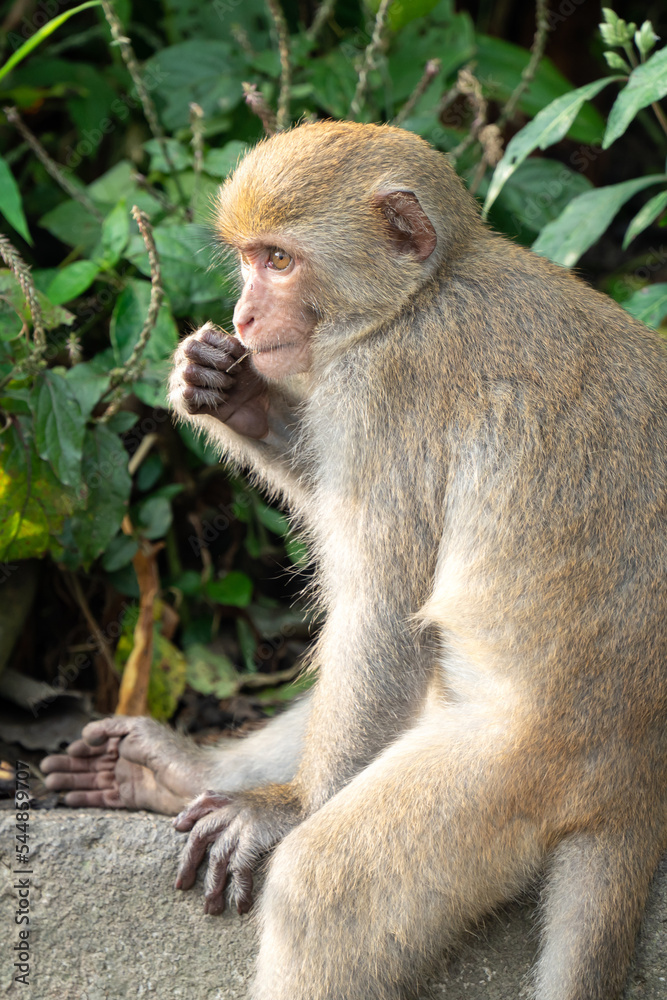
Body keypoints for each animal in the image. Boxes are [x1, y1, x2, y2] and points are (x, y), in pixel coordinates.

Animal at [41, 123, 667, 1000]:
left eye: (278, 261)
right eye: (247, 259)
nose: (243, 313)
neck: (417, 296)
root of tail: (639, 790)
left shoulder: (386, 391)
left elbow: (382, 607)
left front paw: (289, 808)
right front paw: (238, 398)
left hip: (513, 777)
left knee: (324, 889)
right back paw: (180, 771)